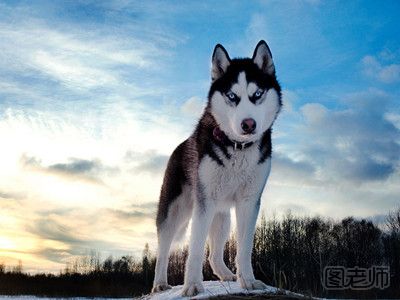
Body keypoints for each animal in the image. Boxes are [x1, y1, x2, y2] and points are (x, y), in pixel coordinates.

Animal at [152, 41, 282, 296]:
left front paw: (248, 280)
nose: (248, 124)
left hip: (221, 217)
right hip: (175, 211)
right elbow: (194, 248)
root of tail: (179, 147)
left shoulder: (249, 202)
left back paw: (226, 274)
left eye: (257, 94)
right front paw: (192, 285)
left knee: (213, 254)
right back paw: (160, 283)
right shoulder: (204, 203)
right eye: (232, 96)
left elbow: (244, 247)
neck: (238, 148)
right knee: (163, 249)